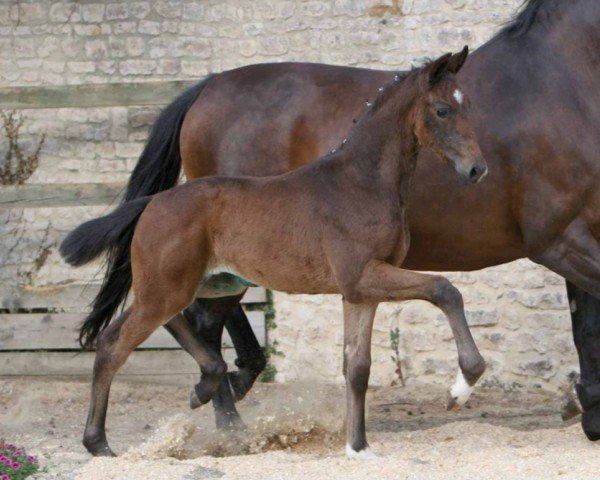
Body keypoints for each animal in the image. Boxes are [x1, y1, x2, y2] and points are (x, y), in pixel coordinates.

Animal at [61, 47, 488, 458]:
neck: (360, 182)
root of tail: (154, 202)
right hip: (170, 286)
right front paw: (460, 387)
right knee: (117, 342)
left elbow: (357, 367)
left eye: (468, 105)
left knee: (165, 323)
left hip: (209, 282)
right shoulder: (362, 276)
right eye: (443, 109)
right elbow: (446, 289)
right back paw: (100, 442)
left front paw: (358, 447)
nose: (477, 170)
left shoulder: (360, 292)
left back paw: (202, 387)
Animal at [95, 0, 600, 438]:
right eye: (442, 110)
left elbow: (585, 324)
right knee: (199, 319)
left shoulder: (578, 235)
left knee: (201, 316)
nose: (477, 170)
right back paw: (226, 413)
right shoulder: (557, 240)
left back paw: (221, 394)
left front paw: (583, 406)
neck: (562, 83)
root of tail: (207, 86)